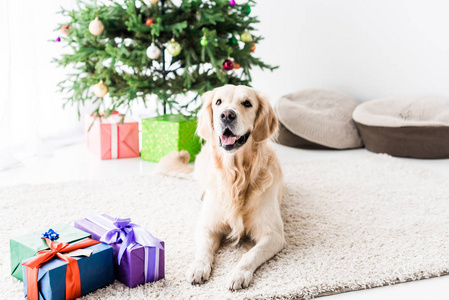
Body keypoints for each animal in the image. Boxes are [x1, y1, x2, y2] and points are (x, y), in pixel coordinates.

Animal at [158, 84, 284, 288]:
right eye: (218, 102)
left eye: (247, 103)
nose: (227, 115)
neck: (235, 176)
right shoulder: (207, 225)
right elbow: (203, 251)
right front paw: (198, 268)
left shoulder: (273, 234)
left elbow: (250, 254)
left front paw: (238, 274)